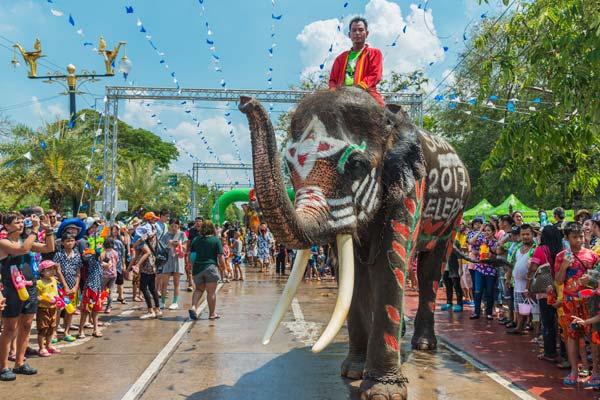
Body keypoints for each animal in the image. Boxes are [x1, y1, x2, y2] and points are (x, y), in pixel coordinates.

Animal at [238, 87, 468, 400]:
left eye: (356, 165)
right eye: (288, 164)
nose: (244, 101)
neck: (388, 122)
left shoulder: (410, 187)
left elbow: (390, 262)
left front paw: (383, 393)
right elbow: (354, 273)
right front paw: (353, 373)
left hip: (454, 216)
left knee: (429, 270)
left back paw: (422, 345)